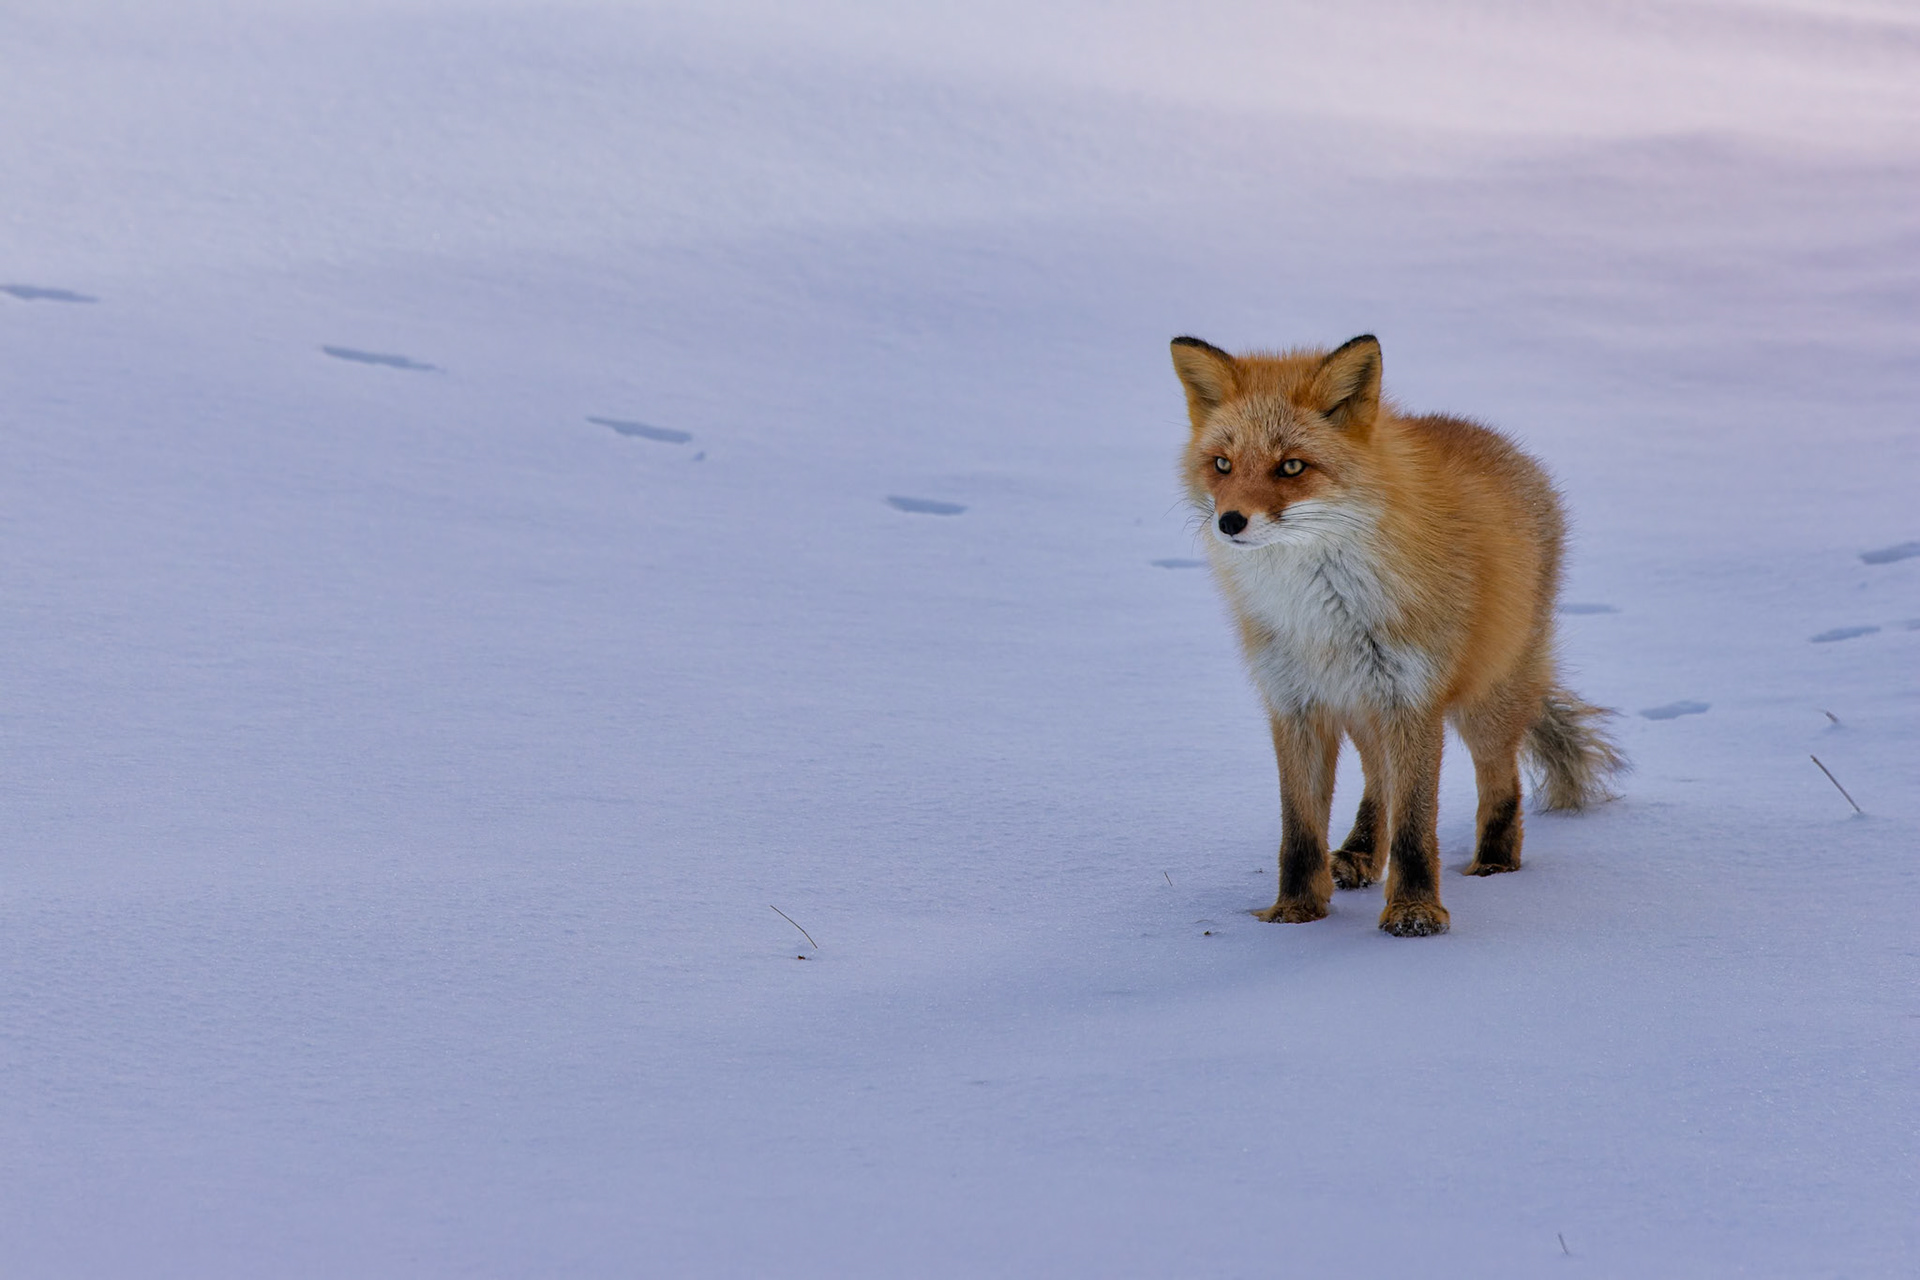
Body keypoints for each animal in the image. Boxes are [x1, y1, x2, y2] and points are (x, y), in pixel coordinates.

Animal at [1169, 333, 1625, 936]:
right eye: (1221, 464)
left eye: (1291, 466)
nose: (1230, 522)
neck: (1322, 613)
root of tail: (1502, 444)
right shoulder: (1295, 703)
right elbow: (1299, 830)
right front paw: (1296, 911)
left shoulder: (1412, 697)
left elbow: (1414, 826)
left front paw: (1414, 912)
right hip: (1365, 708)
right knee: (1376, 783)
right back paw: (1362, 852)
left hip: (1482, 705)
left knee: (1500, 782)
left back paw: (1495, 864)